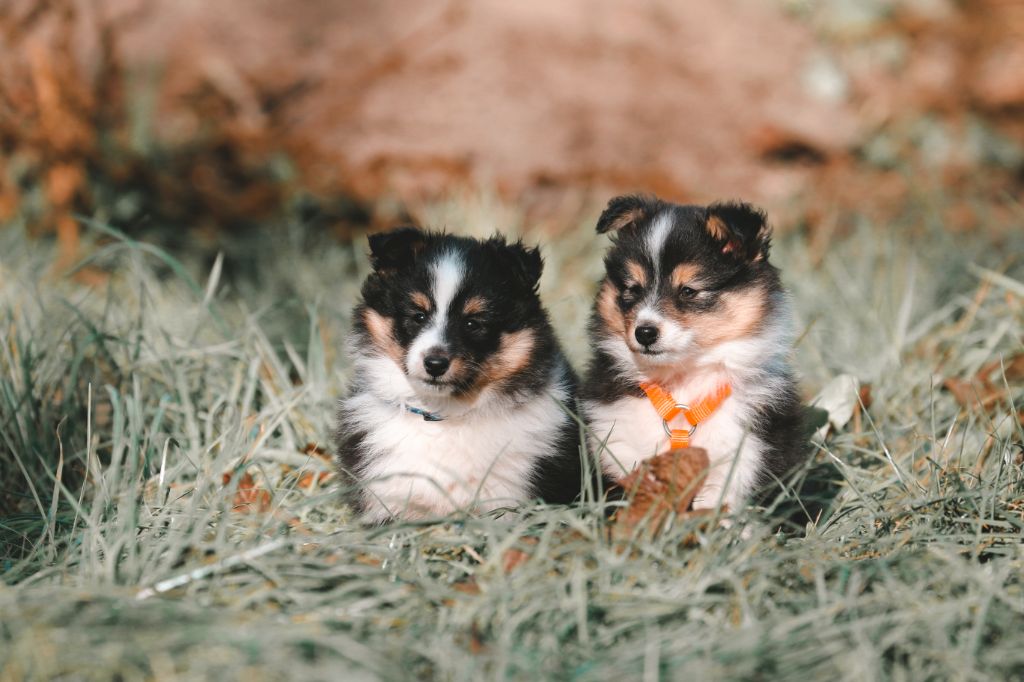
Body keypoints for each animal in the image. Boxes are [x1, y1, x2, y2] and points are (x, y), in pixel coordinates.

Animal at [581, 193, 802, 507]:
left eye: (688, 291)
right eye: (633, 289)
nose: (644, 332)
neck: (682, 382)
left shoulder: (742, 452)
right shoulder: (616, 442)